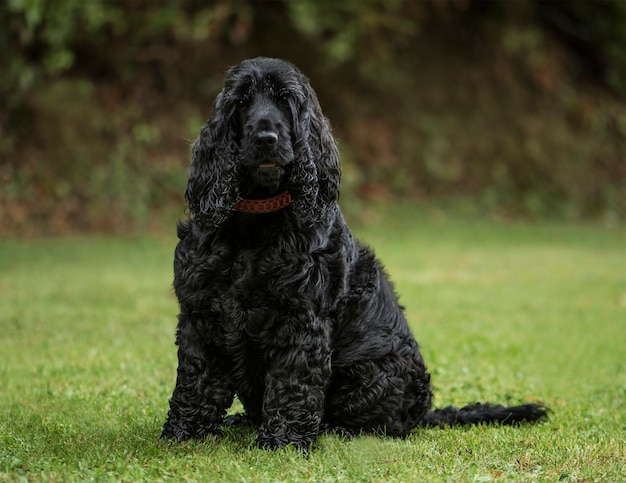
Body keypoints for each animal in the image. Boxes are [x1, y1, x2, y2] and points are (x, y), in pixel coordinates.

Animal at [162, 58, 544, 452]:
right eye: (241, 102)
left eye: (286, 100)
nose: (266, 139)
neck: (256, 220)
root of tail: (424, 412)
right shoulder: (201, 313)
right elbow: (196, 380)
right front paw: (184, 434)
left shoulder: (301, 320)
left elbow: (292, 385)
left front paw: (283, 442)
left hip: (375, 371)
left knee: (382, 425)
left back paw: (333, 430)